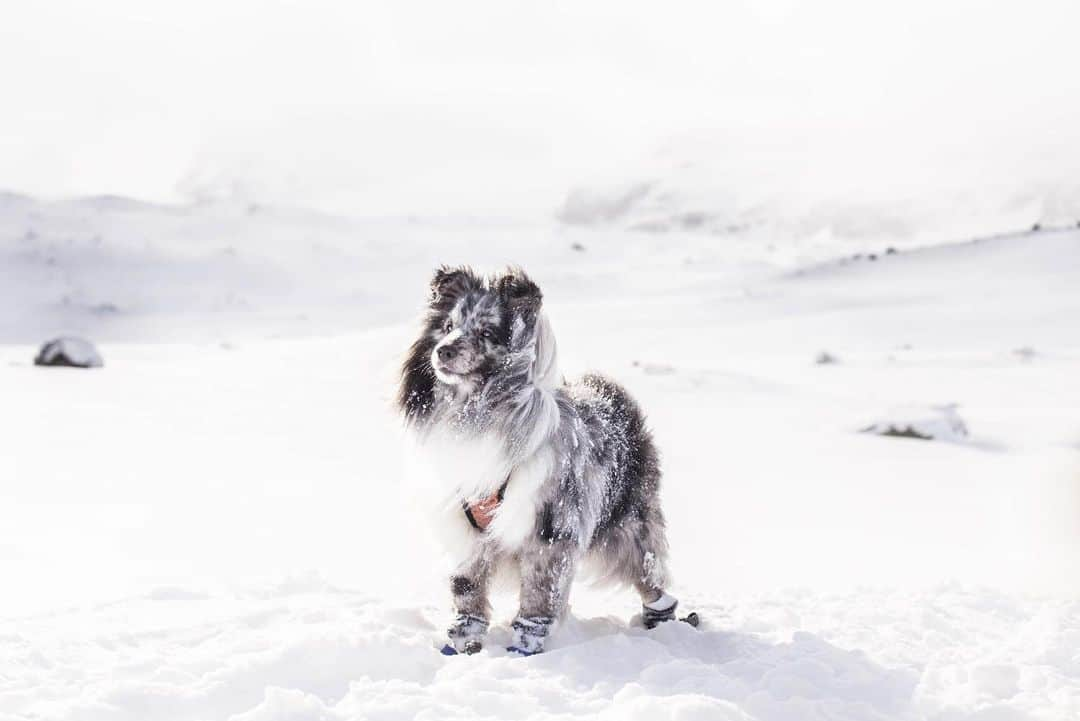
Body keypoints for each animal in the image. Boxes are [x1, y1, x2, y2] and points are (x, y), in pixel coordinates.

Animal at [397, 267, 682, 656]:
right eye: (448, 325)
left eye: (487, 332)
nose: (443, 351)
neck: (475, 410)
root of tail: (615, 397)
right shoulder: (465, 530)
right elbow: (467, 590)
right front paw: (463, 645)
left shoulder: (549, 530)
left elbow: (537, 599)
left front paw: (523, 650)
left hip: (628, 529)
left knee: (650, 576)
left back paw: (661, 621)